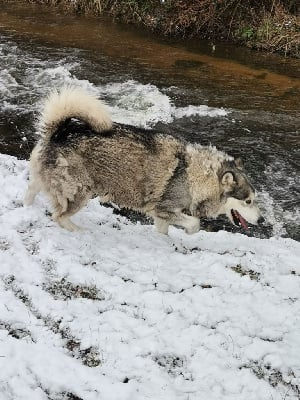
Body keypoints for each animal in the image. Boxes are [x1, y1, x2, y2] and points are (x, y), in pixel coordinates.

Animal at [24, 85, 264, 234]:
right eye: (248, 201)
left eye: (254, 200)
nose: (262, 221)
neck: (196, 175)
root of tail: (59, 133)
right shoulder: (163, 209)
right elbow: (195, 223)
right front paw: (189, 233)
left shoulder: (164, 216)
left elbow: (165, 232)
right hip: (80, 192)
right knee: (59, 216)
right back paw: (79, 231)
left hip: (45, 181)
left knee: (32, 194)